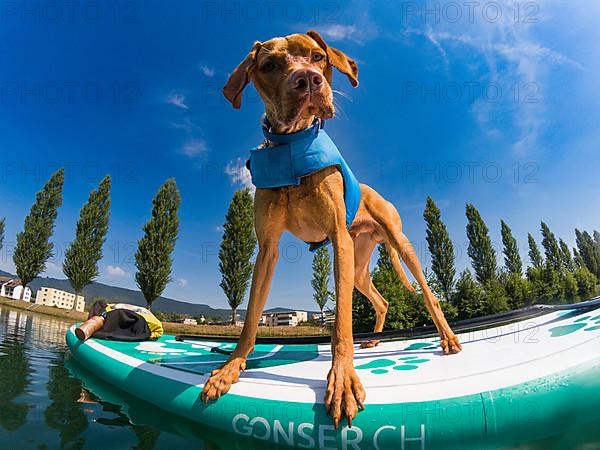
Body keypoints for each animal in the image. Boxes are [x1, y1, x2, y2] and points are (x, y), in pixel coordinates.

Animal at [199, 30, 462, 426]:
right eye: (269, 65)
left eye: (318, 57)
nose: (308, 80)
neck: (292, 148)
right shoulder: (267, 249)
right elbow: (250, 319)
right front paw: (231, 367)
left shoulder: (338, 240)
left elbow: (341, 324)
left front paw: (342, 380)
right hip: (359, 265)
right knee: (382, 300)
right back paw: (374, 339)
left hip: (396, 244)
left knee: (429, 294)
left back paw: (447, 337)